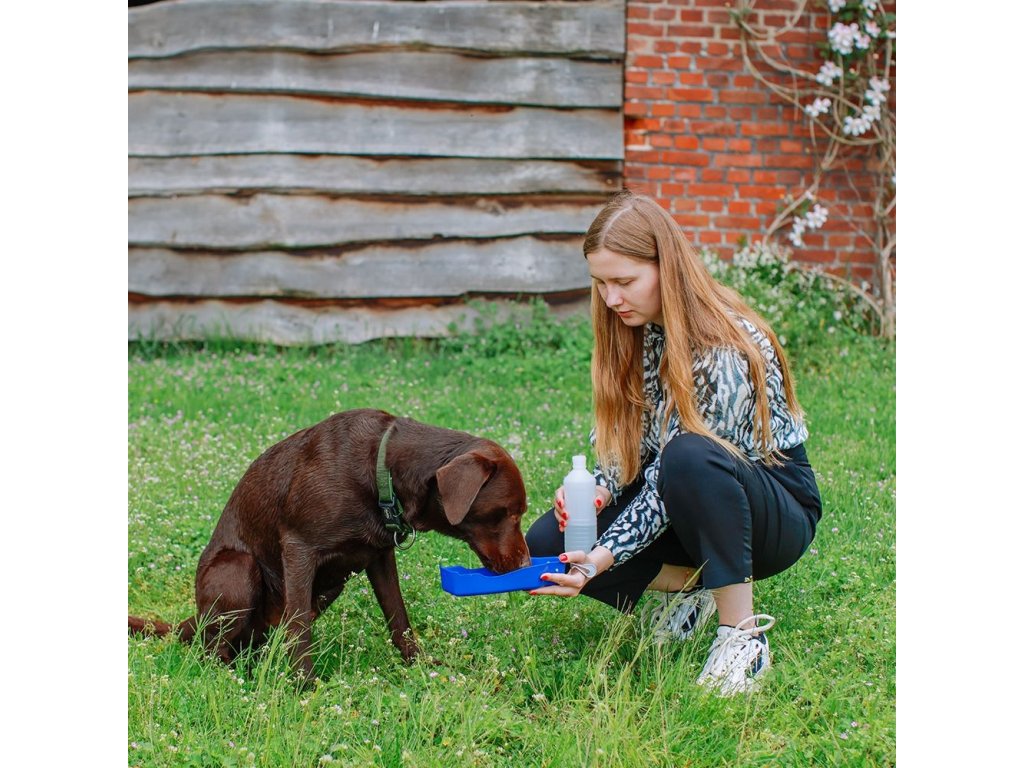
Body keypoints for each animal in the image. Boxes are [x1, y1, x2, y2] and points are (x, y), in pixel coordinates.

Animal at [129, 408, 532, 679]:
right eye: (508, 514)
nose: (527, 565)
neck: (381, 471)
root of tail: (195, 618)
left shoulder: (380, 556)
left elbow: (399, 618)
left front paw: (422, 667)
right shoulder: (298, 549)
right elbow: (300, 629)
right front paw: (304, 684)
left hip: (330, 585)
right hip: (238, 572)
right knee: (212, 650)